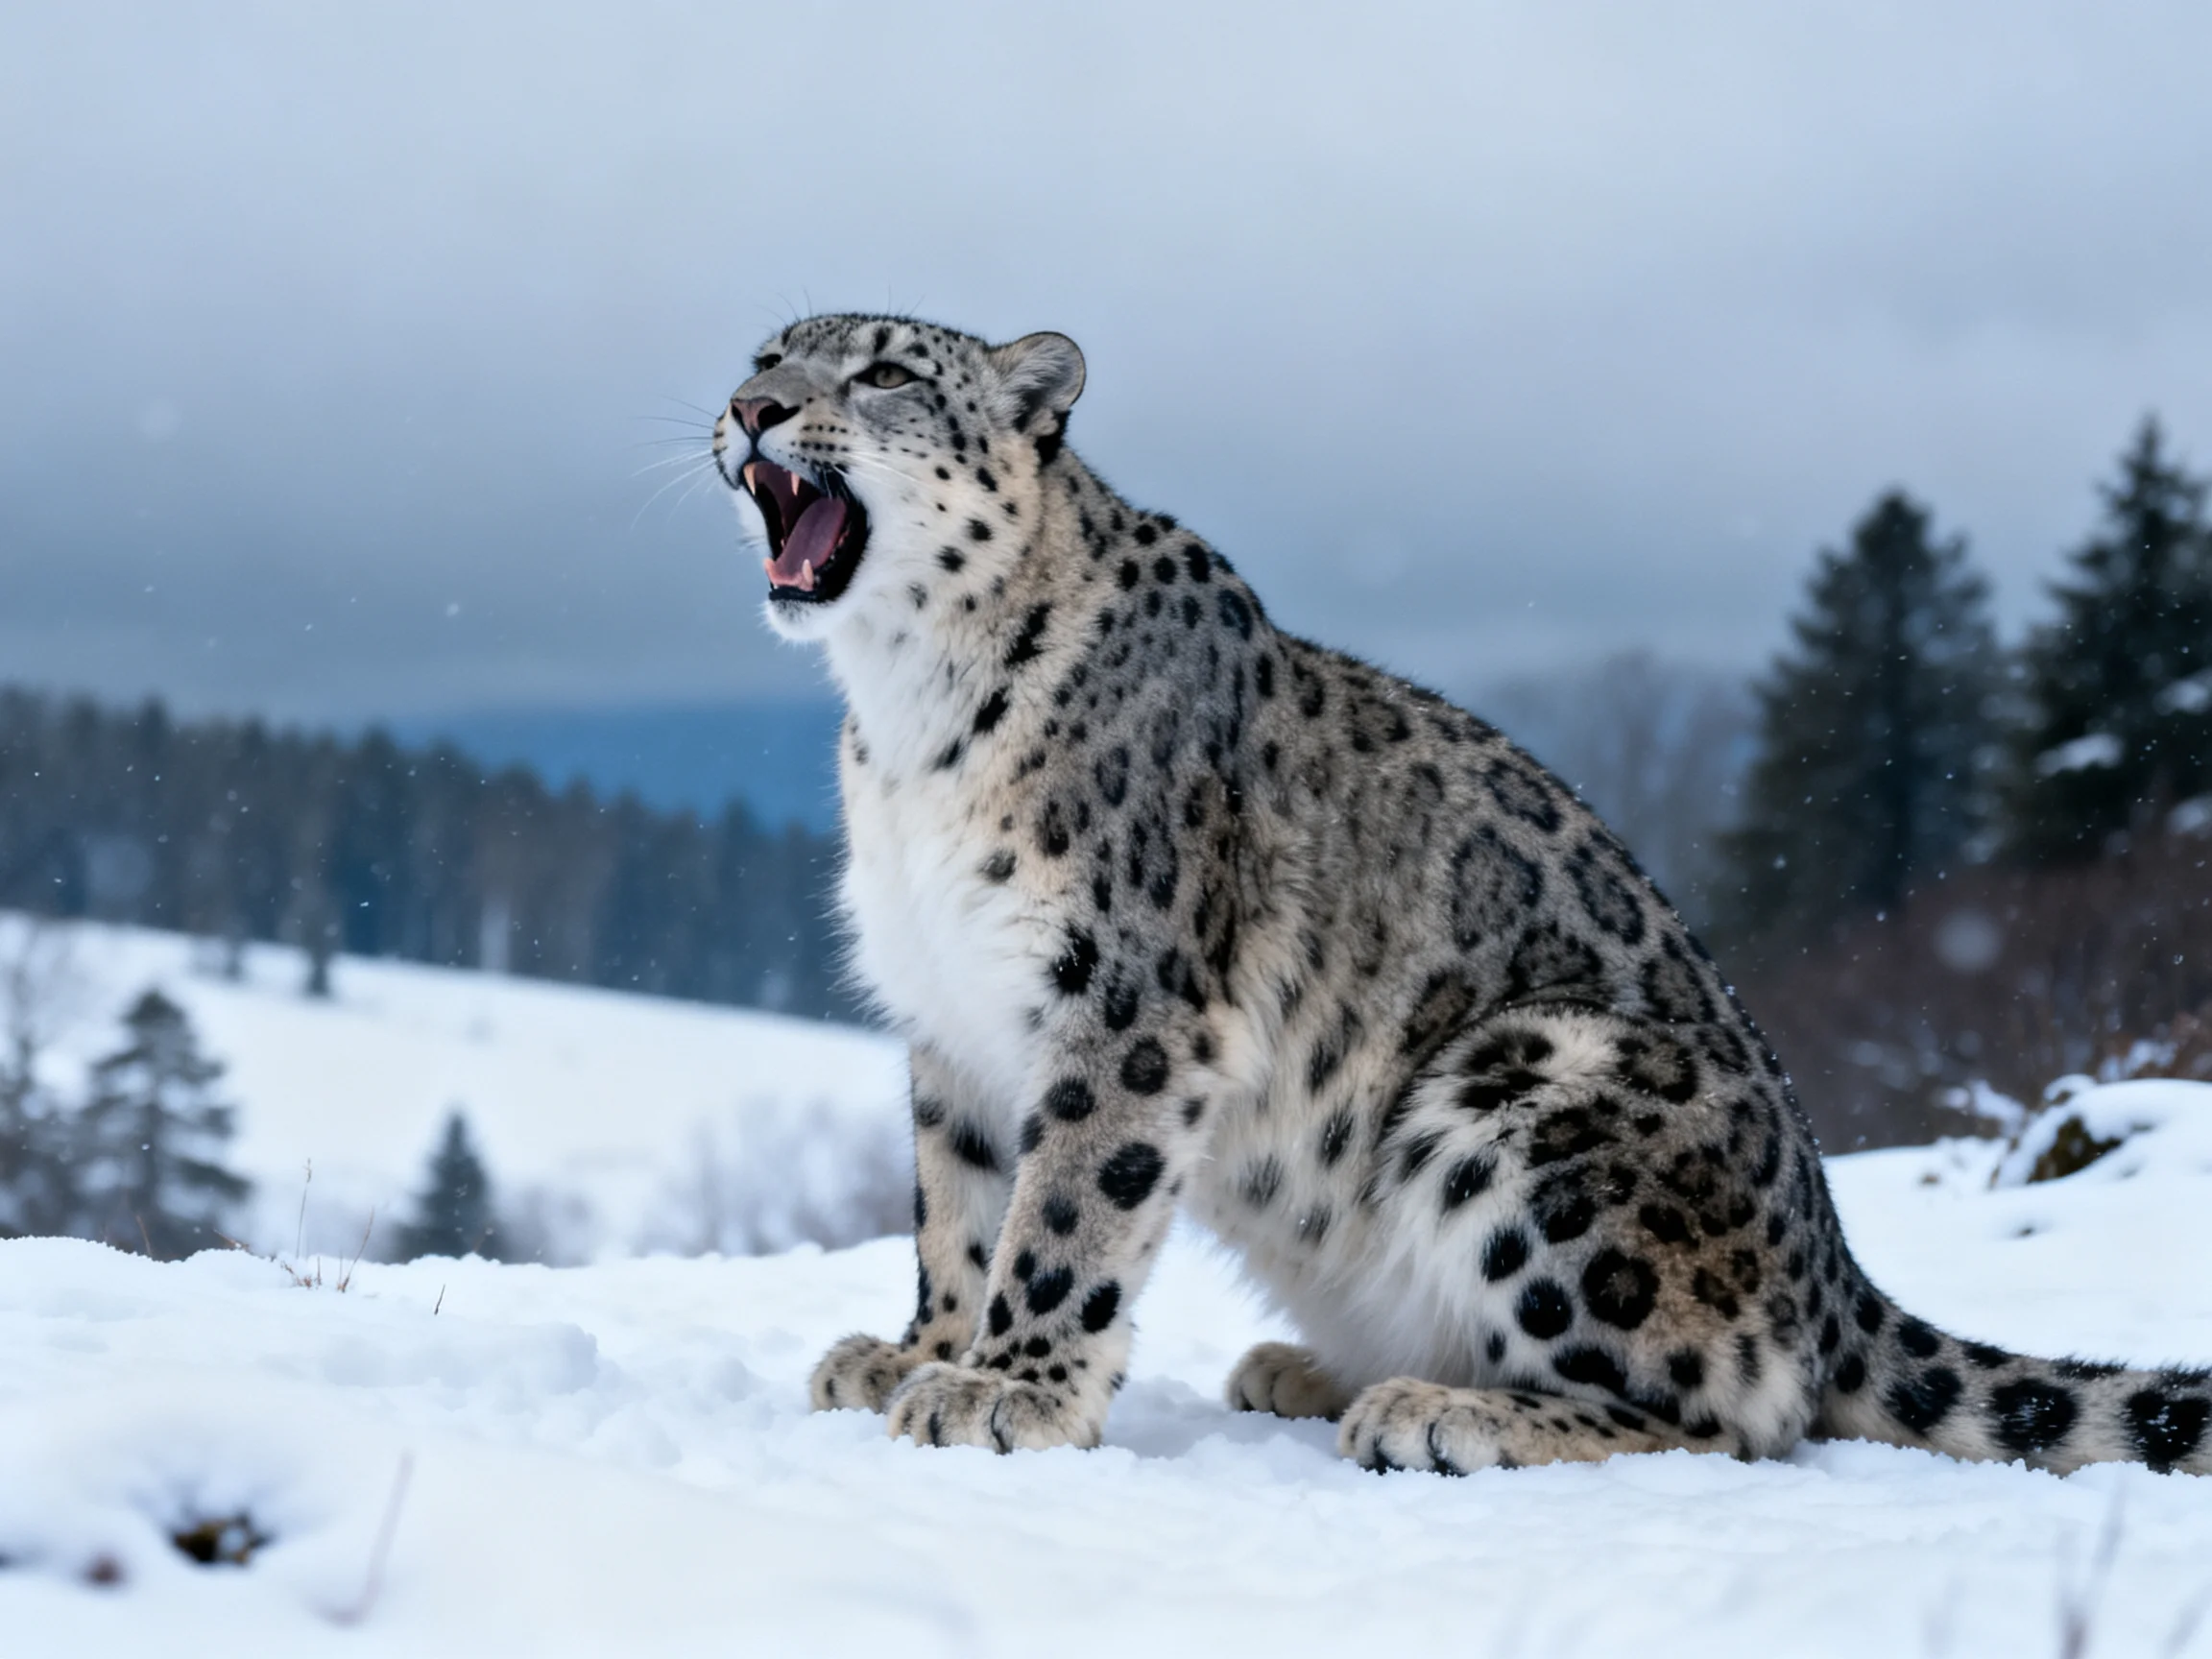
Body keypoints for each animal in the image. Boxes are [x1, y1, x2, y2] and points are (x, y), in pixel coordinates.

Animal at [709, 312, 2211, 1477]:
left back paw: (1441, 1413)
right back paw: (1309, 1369)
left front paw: (1003, 1389)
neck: (907, 719)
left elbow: (1069, 1205)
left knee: (1722, 1410)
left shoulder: (1124, 998)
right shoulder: (949, 1016)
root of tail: (1834, 1268)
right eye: (769, 352)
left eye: (886, 371)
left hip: (1530, 1085)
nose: (750, 409)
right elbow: (955, 1207)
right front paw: (913, 1351)